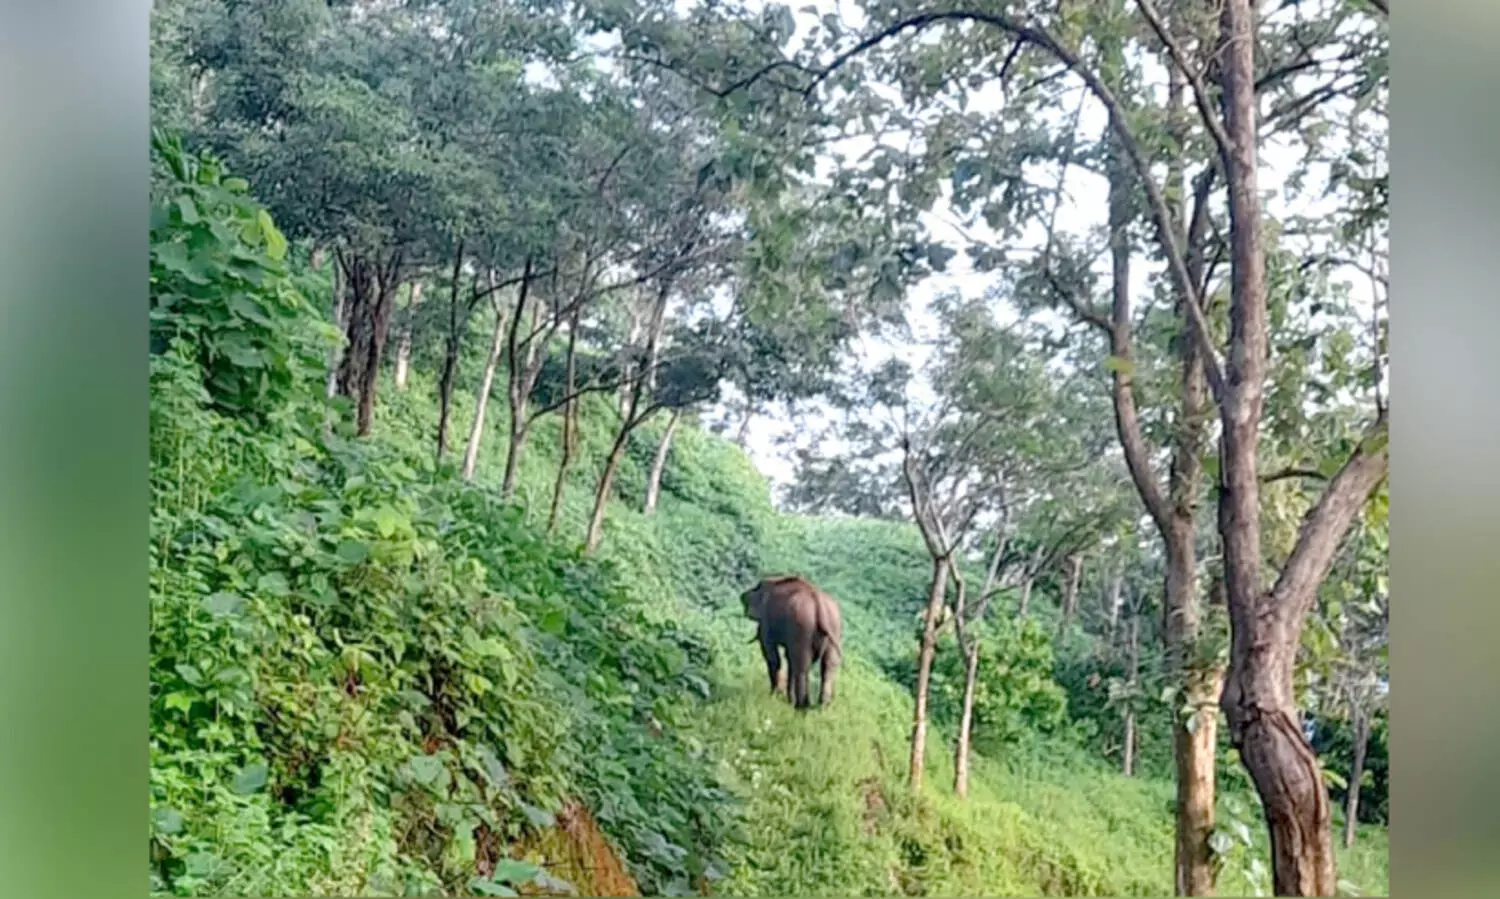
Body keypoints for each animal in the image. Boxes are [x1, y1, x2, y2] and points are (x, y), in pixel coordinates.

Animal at [741, 575, 843, 709]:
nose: (742, 595)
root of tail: (818, 601)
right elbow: (788, 658)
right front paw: (786, 700)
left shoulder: (767, 622)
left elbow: (771, 654)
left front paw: (774, 697)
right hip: (834, 626)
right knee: (828, 666)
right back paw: (822, 707)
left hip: (802, 625)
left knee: (802, 664)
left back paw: (801, 707)